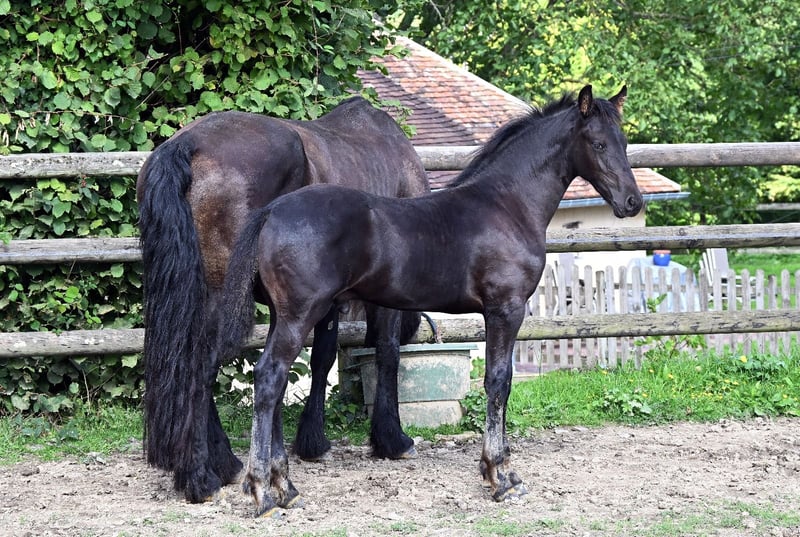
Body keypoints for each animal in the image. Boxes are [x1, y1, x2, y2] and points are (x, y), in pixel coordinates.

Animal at [136, 96, 430, 503]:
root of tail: (186, 145)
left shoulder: (307, 302)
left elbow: (315, 360)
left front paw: (304, 443)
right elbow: (386, 353)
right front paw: (392, 439)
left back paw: (222, 464)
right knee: (200, 367)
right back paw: (200, 477)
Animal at [210, 85, 644, 516]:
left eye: (624, 143)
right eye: (598, 143)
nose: (632, 203)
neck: (506, 205)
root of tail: (272, 211)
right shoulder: (505, 310)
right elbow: (498, 382)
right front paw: (501, 475)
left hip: (284, 316)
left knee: (275, 380)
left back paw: (284, 486)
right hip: (300, 315)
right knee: (269, 378)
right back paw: (263, 490)